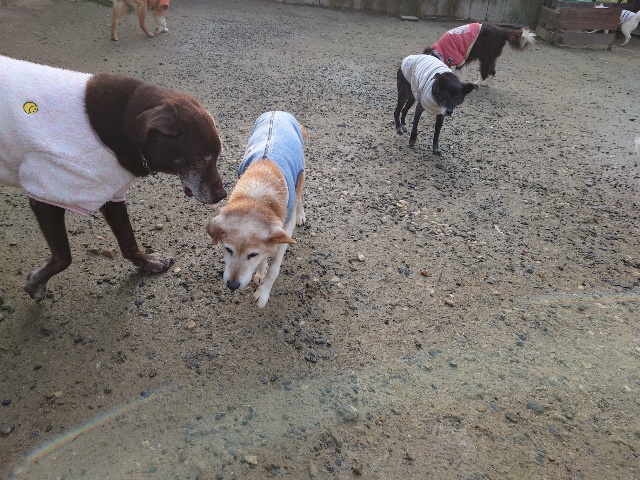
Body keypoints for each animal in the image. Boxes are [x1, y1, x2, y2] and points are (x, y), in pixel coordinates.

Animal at [0, 55, 226, 301]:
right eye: (200, 158)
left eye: (216, 156)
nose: (222, 195)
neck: (124, 125)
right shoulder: (46, 192)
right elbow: (64, 257)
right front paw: (37, 283)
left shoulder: (110, 192)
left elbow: (128, 241)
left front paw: (147, 262)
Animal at [207, 111, 307, 309]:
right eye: (228, 249)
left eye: (252, 254)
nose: (232, 285)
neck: (256, 198)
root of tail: (279, 111)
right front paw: (260, 272)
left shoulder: (285, 230)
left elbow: (274, 268)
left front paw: (263, 293)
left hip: (300, 175)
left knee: (300, 197)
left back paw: (301, 215)